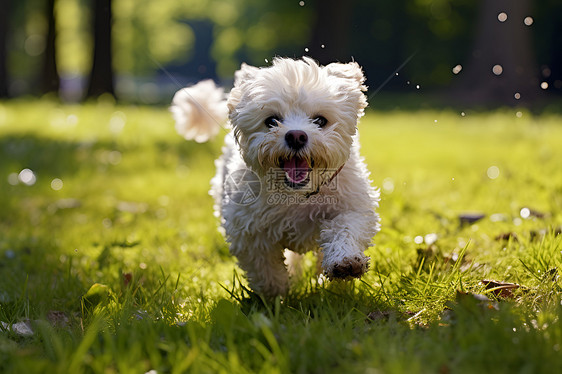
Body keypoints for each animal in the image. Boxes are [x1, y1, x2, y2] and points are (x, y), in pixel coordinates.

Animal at [171, 57, 378, 296]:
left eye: (320, 120)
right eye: (271, 120)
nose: (296, 136)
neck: (298, 195)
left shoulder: (352, 207)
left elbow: (345, 228)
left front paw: (345, 263)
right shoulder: (250, 232)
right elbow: (266, 269)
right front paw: (276, 297)